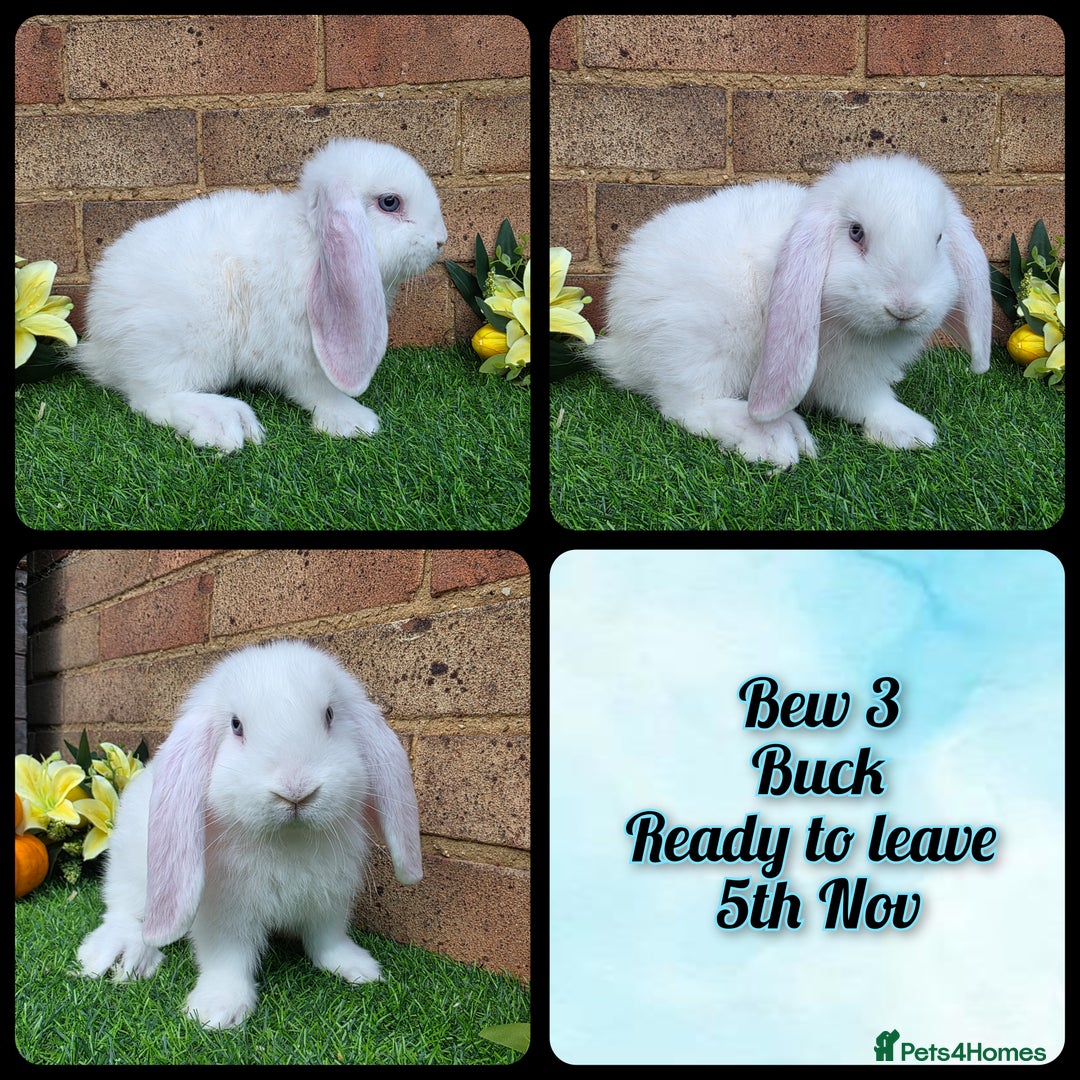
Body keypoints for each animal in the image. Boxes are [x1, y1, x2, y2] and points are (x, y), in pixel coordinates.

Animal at [74, 138, 448, 452]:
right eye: (390, 202)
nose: (441, 240)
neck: (313, 242)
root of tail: (102, 345)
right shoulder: (298, 352)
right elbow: (319, 390)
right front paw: (355, 421)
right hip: (186, 347)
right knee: (152, 398)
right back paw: (226, 423)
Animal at [77, 639, 423, 1030]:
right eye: (236, 725)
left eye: (330, 715)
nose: (296, 791)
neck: (288, 839)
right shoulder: (223, 913)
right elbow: (228, 959)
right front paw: (216, 1011)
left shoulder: (330, 901)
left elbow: (327, 940)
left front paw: (359, 969)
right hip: (135, 879)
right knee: (123, 914)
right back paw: (124, 955)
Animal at [589, 154, 991, 468]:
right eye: (856, 232)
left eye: (938, 239)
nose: (905, 307)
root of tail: (621, 344)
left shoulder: (856, 377)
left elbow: (870, 403)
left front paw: (912, 432)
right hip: (702, 345)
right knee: (689, 406)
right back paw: (772, 437)